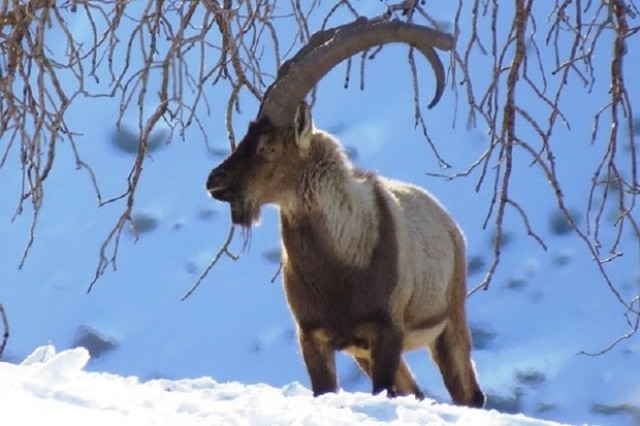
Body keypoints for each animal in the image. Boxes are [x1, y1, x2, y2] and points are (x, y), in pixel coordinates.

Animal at [208, 18, 482, 408]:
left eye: (268, 145)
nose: (215, 181)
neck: (339, 268)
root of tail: (449, 224)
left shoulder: (387, 331)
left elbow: (384, 389)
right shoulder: (313, 335)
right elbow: (325, 387)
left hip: (450, 319)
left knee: (468, 394)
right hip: (363, 352)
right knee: (414, 391)